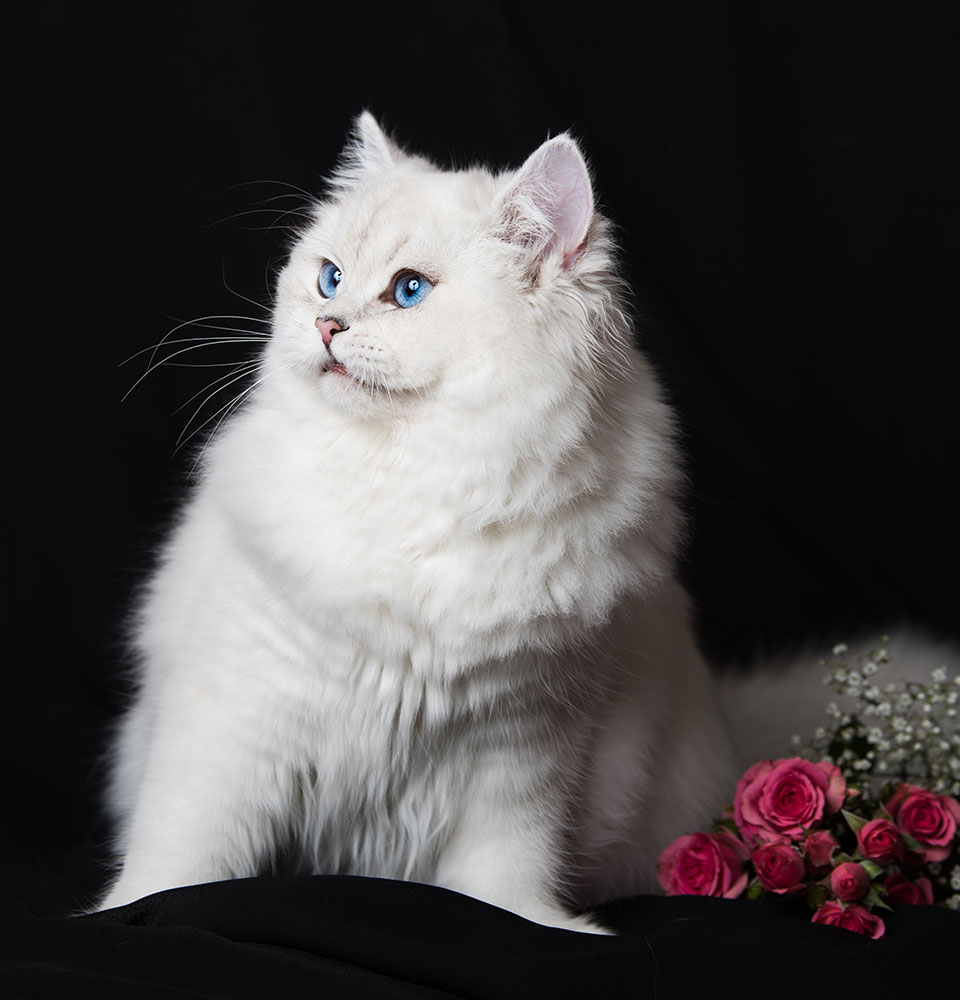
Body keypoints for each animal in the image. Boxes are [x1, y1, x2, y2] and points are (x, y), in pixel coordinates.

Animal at [101, 113, 932, 932]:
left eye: (408, 291)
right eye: (328, 277)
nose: (327, 324)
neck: (423, 475)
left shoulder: (524, 745)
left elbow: (503, 871)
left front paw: (533, 923)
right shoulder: (239, 711)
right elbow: (184, 845)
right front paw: (133, 910)